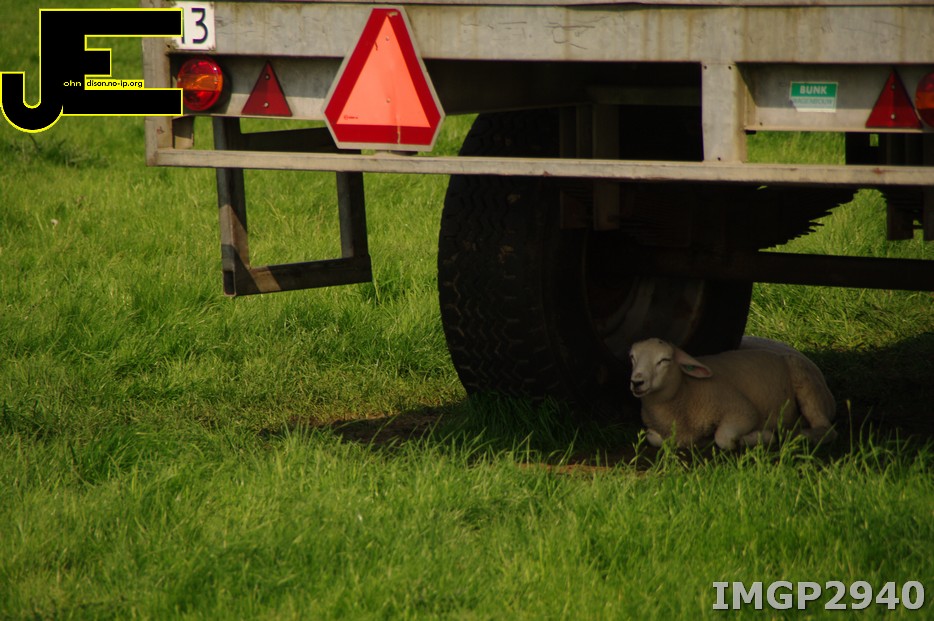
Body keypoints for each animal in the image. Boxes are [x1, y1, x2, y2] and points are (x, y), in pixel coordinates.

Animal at [628, 337, 837, 450]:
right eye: (632, 357)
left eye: (664, 360)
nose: (637, 382)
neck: (685, 389)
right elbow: (653, 437)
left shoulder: (742, 410)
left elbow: (724, 438)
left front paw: (760, 437)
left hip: (806, 385)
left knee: (826, 429)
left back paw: (799, 435)